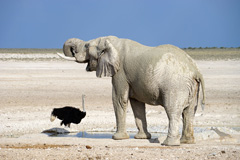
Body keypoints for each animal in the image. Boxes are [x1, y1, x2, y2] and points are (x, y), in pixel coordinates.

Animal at [57, 36, 205, 146]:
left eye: (87, 46)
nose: (73, 51)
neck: (110, 40)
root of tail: (196, 70)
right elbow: (137, 104)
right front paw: (142, 138)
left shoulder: (120, 72)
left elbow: (118, 99)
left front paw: (117, 138)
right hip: (191, 87)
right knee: (189, 112)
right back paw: (186, 142)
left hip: (175, 86)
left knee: (172, 111)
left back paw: (169, 144)